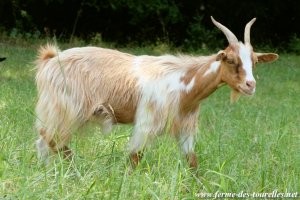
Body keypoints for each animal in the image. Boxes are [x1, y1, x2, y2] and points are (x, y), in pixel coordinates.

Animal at [35, 16, 278, 167]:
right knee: (51, 140)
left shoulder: (185, 127)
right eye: (230, 59)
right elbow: (135, 157)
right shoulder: (147, 122)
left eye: (255, 61)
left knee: (47, 143)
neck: (184, 83)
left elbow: (192, 162)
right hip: (64, 109)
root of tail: (50, 60)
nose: (250, 85)